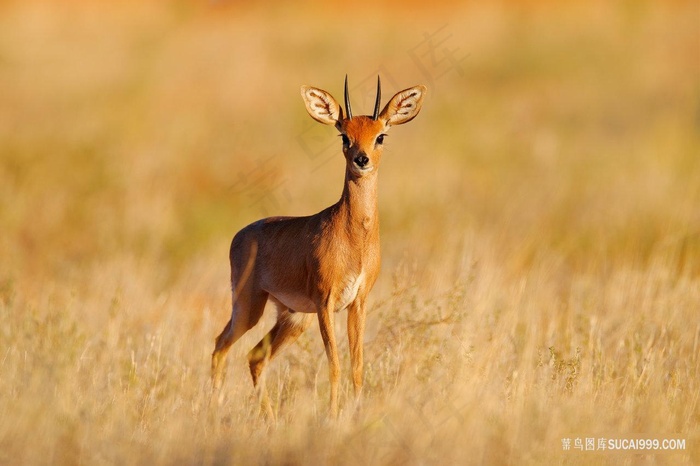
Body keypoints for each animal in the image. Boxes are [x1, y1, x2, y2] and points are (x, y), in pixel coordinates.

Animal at [208, 76, 426, 418]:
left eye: (380, 136)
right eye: (344, 136)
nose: (361, 159)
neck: (354, 238)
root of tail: (241, 234)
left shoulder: (358, 303)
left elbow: (357, 366)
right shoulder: (326, 303)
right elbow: (334, 365)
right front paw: (333, 417)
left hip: (294, 317)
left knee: (255, 357)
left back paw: (271, 420)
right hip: (248, 306)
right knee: (220, 346)